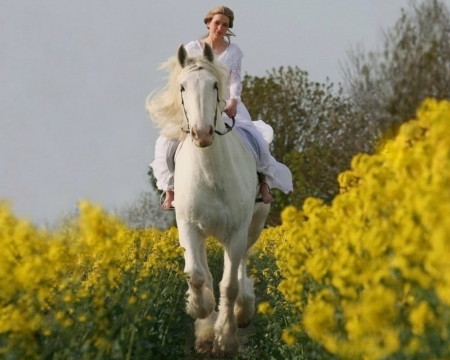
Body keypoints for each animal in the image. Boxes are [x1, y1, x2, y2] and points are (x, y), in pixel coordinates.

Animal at [148, 44, 268, 354]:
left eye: (215, 85)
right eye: (182, 87)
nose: (202, 134)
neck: (210, 172)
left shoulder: (236, 232)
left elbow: (229, 285)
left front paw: (225, 337)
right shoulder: (189, 227)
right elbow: (197, 274)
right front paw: (200, 313)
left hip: (253, 226)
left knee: (241, 265)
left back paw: (243, 310)